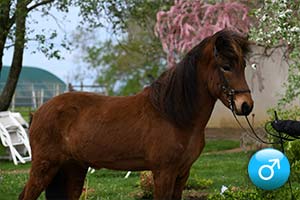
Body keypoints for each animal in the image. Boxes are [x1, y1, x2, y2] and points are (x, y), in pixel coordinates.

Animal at [18, 28, 253, 199]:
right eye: (225, 66)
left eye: (243, 65)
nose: (246, 105)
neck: (174, 115)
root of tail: (38, 112)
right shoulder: (164, 173)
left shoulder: (182, 174)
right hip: (44, 167)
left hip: (72, 169)